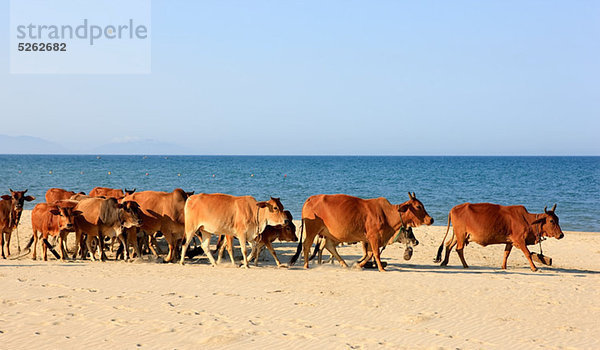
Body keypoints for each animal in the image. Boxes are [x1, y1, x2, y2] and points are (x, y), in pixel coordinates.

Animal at [290, 193, 432, 272]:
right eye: (418, 206)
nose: (431, 219)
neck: (388, 215)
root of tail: (310, 199)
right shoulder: (373, 237)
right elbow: (375, 254)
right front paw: (381, 269)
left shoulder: (369, 239)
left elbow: (369, 254)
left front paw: (358, 265)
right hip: (312, 229)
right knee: (307, 245)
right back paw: (306, 265)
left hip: (330, 234)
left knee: (329, 247)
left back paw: (344, 264)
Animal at [434, 201, 564, 272]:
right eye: (551, 221)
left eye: (558, 219)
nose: (561, 235)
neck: (528, 221)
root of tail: (453, 209)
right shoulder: (520, 240)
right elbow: (527, 254)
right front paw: (534, 268)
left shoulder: (510, 242)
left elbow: (506, 254)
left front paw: (503, 266)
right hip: (461, 235)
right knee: (459, 249)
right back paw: (465, 265)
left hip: (458, 235)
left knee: (448, 245)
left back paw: (444, 262)